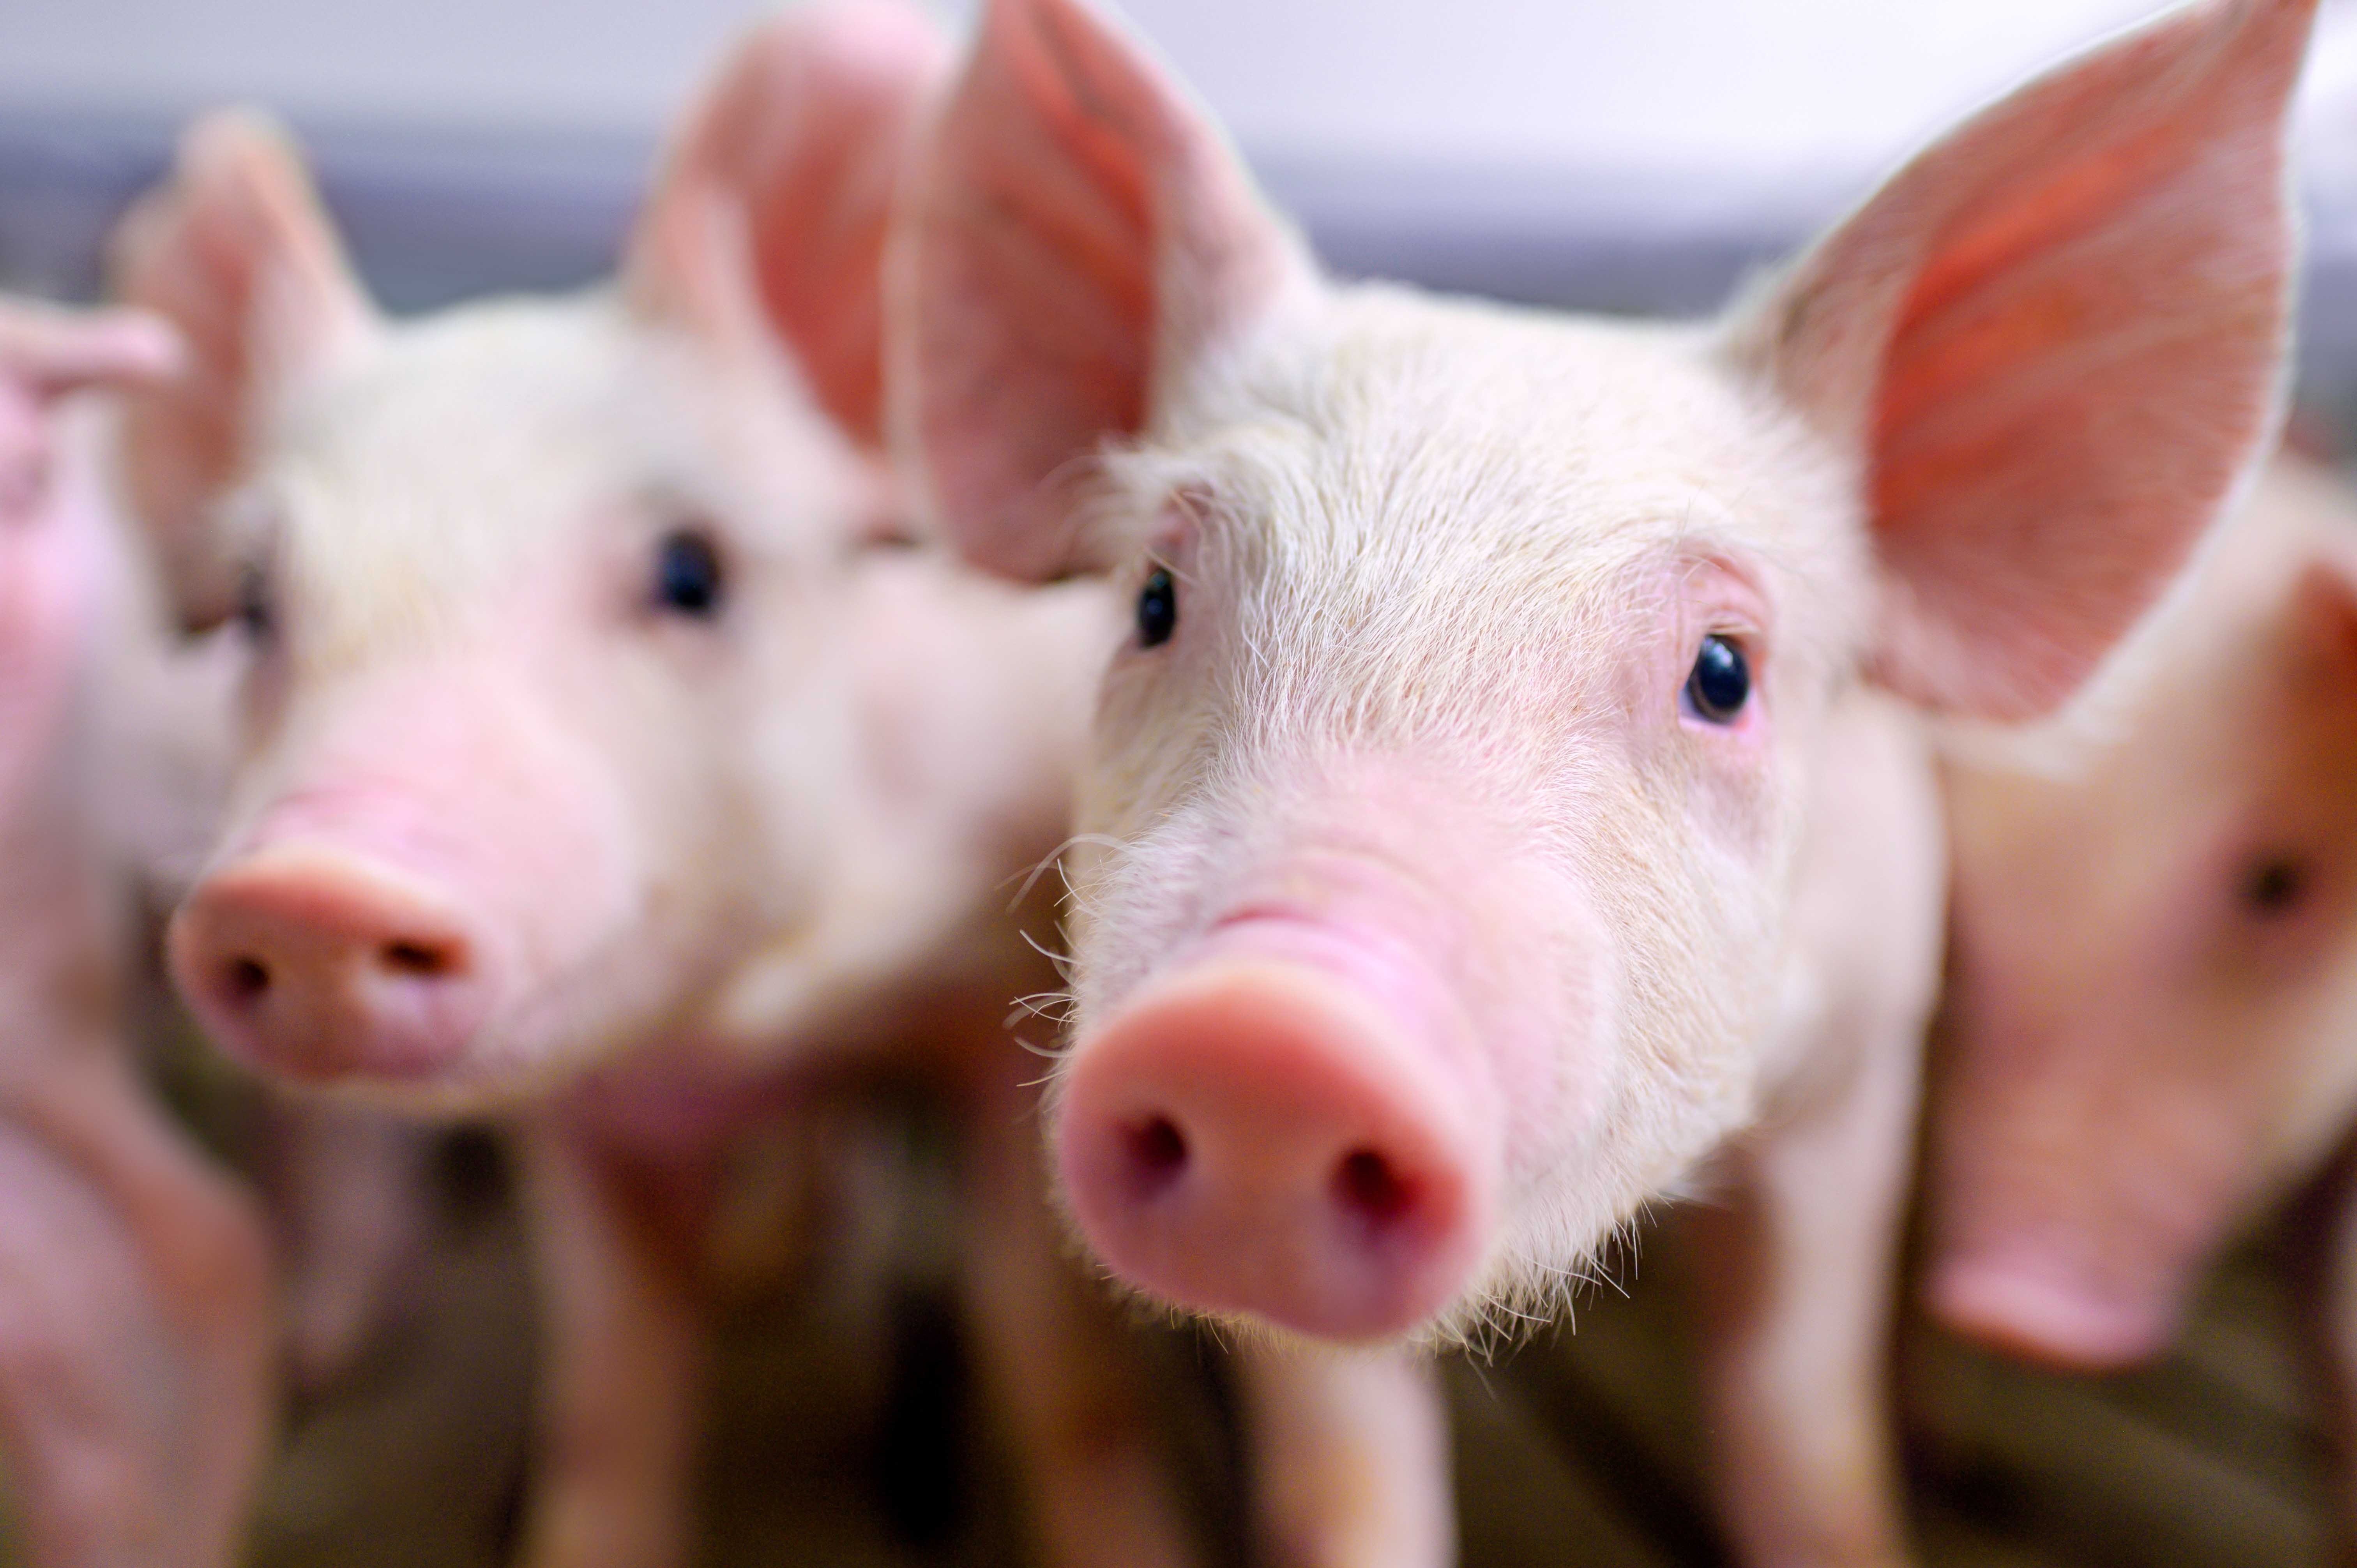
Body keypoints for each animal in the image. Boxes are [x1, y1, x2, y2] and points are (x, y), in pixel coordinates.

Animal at [106, 5, 1447, 1564]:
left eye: (693, 571)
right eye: (258, 606)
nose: (306, 891)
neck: (739, 1021)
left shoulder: (987, 998)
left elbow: (1044, 1346)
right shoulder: (577, 1117)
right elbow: (613, 1376)